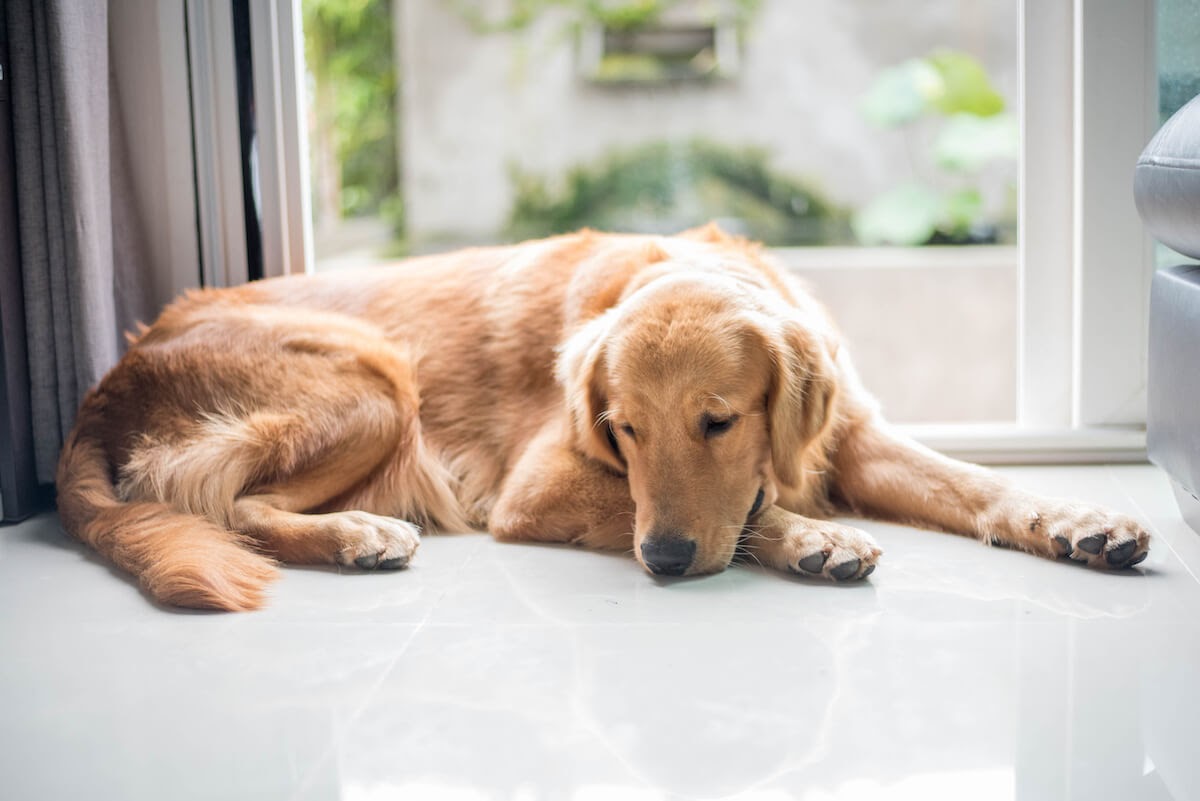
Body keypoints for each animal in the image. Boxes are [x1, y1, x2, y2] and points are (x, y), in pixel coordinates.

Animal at [56, 227, 1152, 609]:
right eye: (622, 430)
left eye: (718, 422)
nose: (661, 563)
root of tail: (108, 378)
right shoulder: (538, 486)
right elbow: (740, 514)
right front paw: (810, 538)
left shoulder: (854, 434)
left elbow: (977, 482)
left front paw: (1078, 519)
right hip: (374, 382)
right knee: (229, 507)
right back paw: (359, 533)